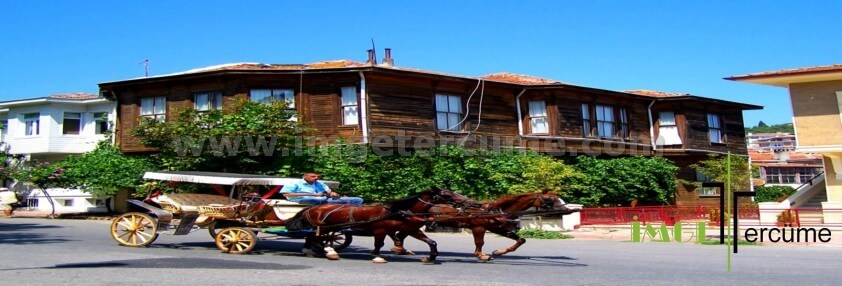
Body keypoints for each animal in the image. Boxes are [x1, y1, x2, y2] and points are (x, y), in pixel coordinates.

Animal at [288, 188, 460, 264]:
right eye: (447, 195)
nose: (462, 200)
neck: (397, 211)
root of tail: (310, 208)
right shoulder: (380, 230)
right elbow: (379, 244)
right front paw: (376, 256)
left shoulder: (411, 229)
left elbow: (431, 242)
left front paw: (430, 257)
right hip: (320, 227)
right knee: (314, 237)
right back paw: (324, 251)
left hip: (325, 227)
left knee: (313, 237)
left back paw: (315, 250)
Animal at [390, 190, 576, 262]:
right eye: (550, 200)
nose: (568, 209)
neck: (496, 210)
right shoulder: (478, 227)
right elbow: (480, 242)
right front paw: (481, 255)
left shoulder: (500, 228)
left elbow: (520, 240)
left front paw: (499, 252)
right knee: (402, 233)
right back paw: (399, 248)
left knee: (402, 234)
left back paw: (399, 248)